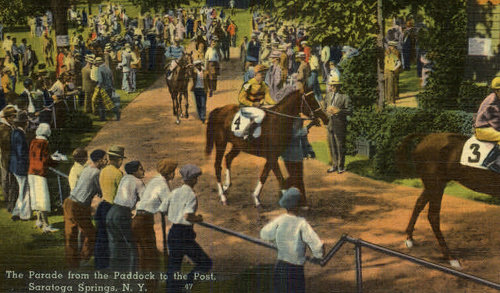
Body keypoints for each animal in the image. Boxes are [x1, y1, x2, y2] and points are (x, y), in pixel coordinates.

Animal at [396, 132, 498, 266]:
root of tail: (426, 136)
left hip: (434, 184)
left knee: (419, 204)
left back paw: (409, 238)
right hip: (435, 183)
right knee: (433, 216)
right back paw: (450, 256)